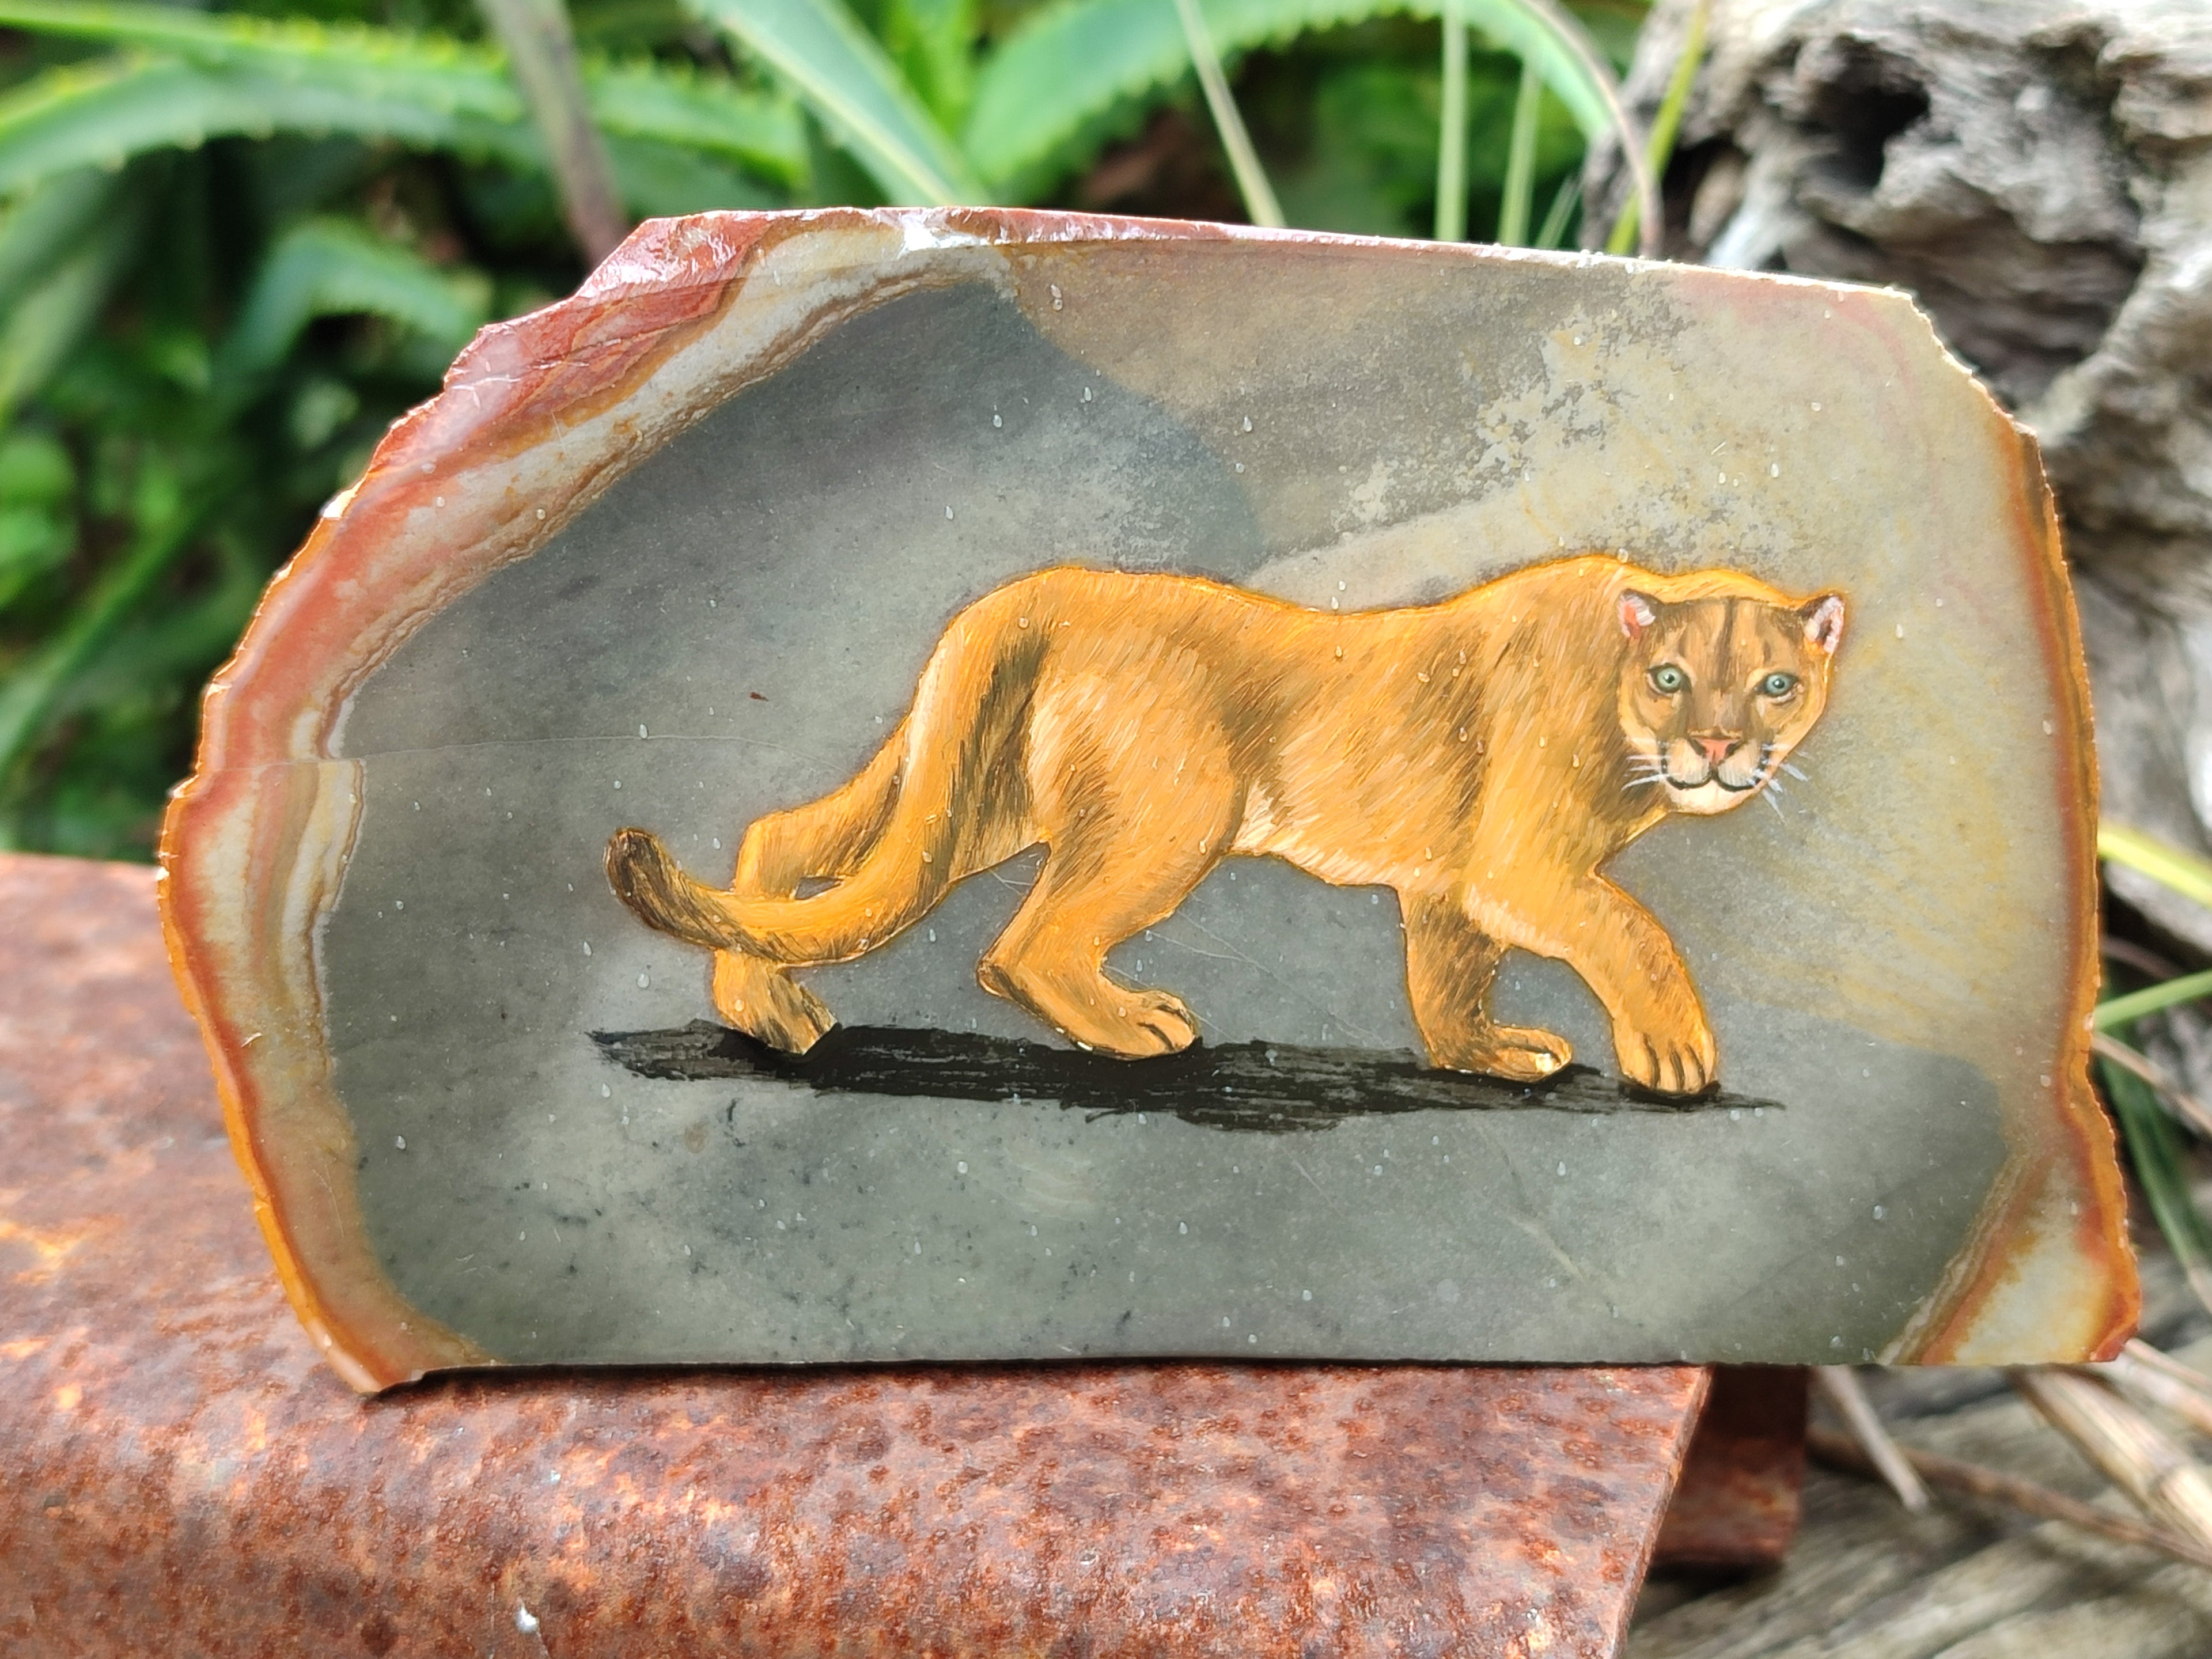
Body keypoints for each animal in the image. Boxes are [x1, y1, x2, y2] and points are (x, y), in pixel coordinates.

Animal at [605, 556, 1845, 1095]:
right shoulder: (1520, 868)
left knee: (781, 837)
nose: (1720, 748)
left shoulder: (1449, 889)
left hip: (971, 804)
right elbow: (1635, 930)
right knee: (1024, 946)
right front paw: (1678, 1054)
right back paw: (1133, 1028)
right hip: (1168, 817)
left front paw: (1488, 1056)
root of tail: (1027, 592)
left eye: (1775, 685)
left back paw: (770, 1013)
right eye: (1674, 678)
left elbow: (1448, 984)